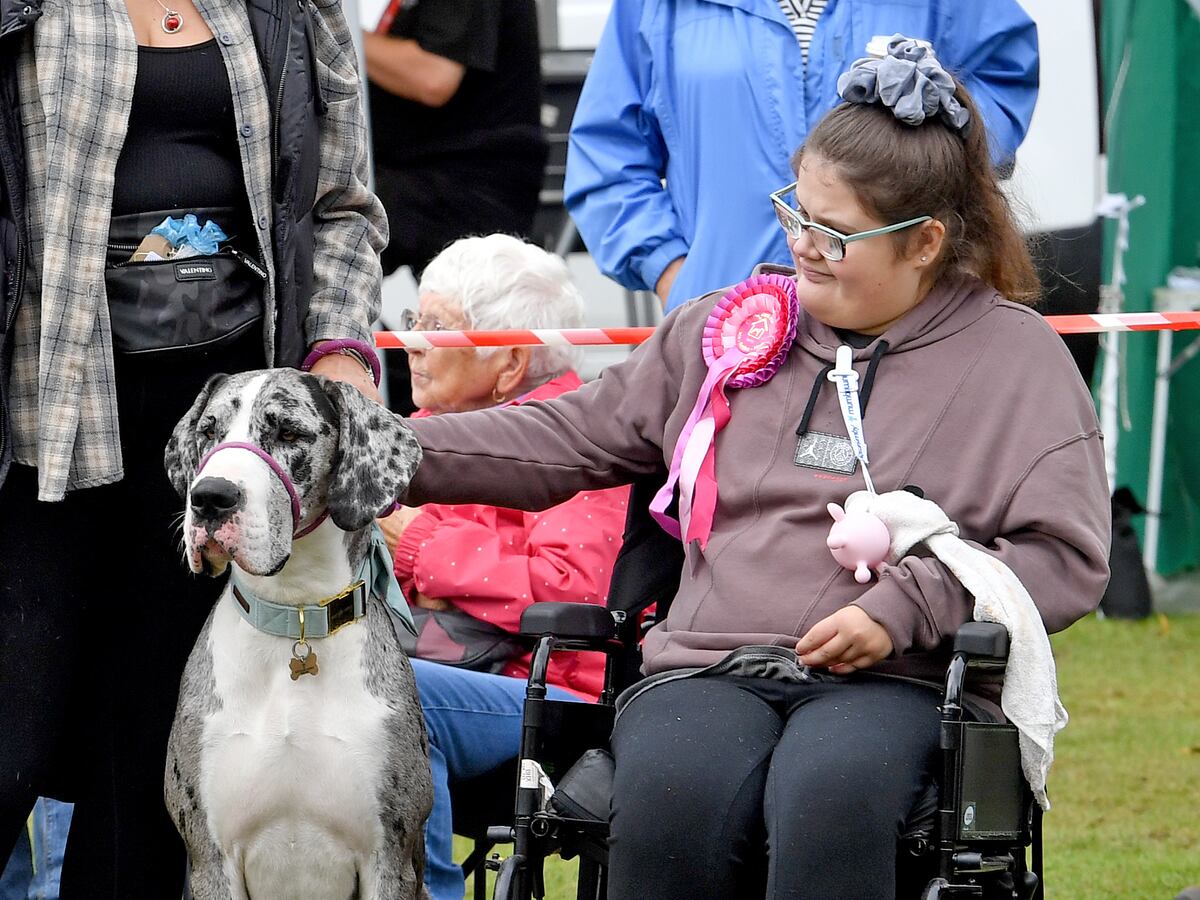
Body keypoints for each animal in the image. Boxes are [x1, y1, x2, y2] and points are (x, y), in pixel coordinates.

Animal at [164, 367, 434, 900]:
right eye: (208, 431)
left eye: (289, 433)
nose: (209, 496)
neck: (295, 614)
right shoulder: (209, 859)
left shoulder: (389, 859)